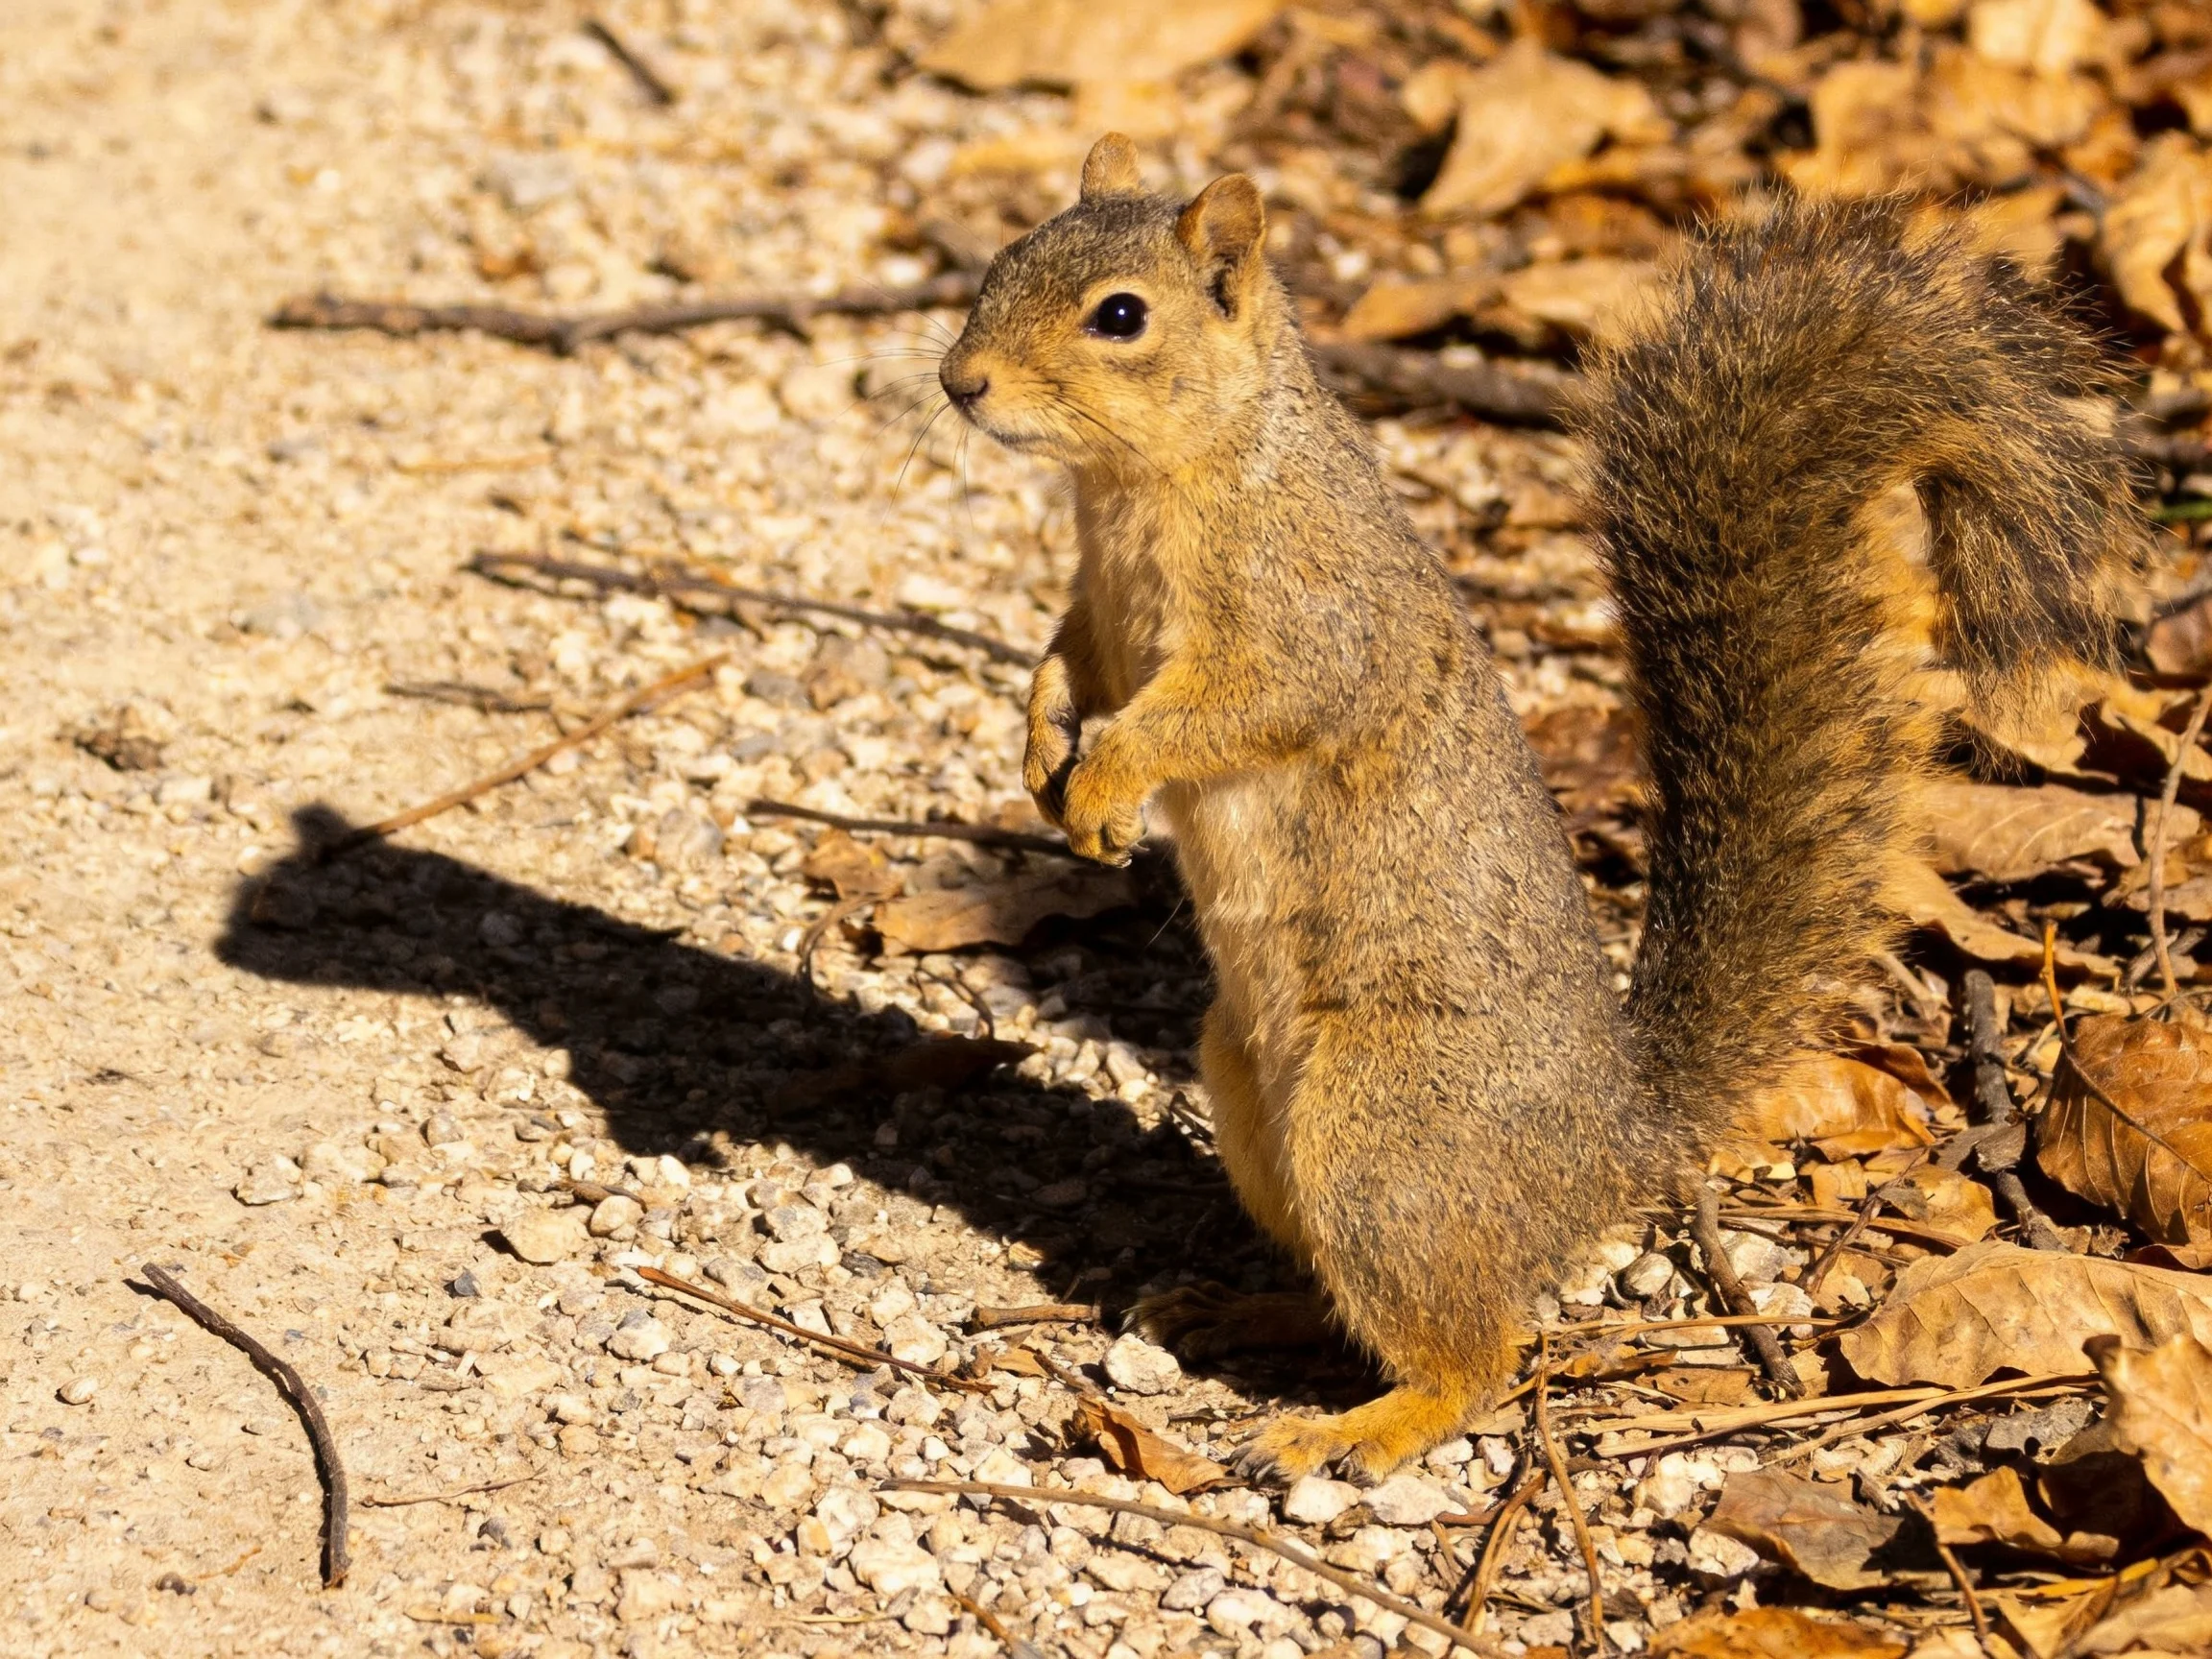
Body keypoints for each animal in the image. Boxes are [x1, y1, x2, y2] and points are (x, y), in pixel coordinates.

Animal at [936, 132, 2144, 1480]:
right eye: (1006, 257)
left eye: (1121, 317)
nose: (959, 381)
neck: (1148, 484)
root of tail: (1616, 1140)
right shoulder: (1100, 609)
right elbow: (1066, 667)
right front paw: (1043, 750)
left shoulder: (1308, 620)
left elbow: (1228, 708)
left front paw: (1105, 780)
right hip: (1254, 1100)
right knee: (1355, 1301)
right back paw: (1244, 1313)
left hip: (1381, 1142)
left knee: (1477, 1355)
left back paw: (1354, 1431)